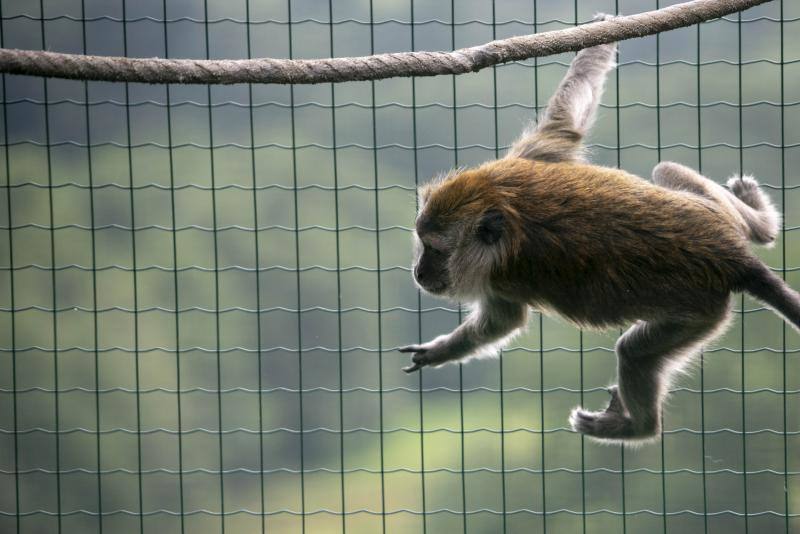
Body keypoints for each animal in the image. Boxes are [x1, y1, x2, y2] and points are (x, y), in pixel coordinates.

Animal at [396, 14, 792, 446]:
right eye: (422, 244)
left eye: (435, 250)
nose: (419, 272)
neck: (502, 205)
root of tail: (732, 255)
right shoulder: (522, 162)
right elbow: (565, 123)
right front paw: (599, 42)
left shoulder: (504, 274)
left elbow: (502, 322)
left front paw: (443, 350)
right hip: (711, 222)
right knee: (667, 171)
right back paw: (761, 224)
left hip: (701, 310)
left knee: (634, 352)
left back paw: (637, 426)